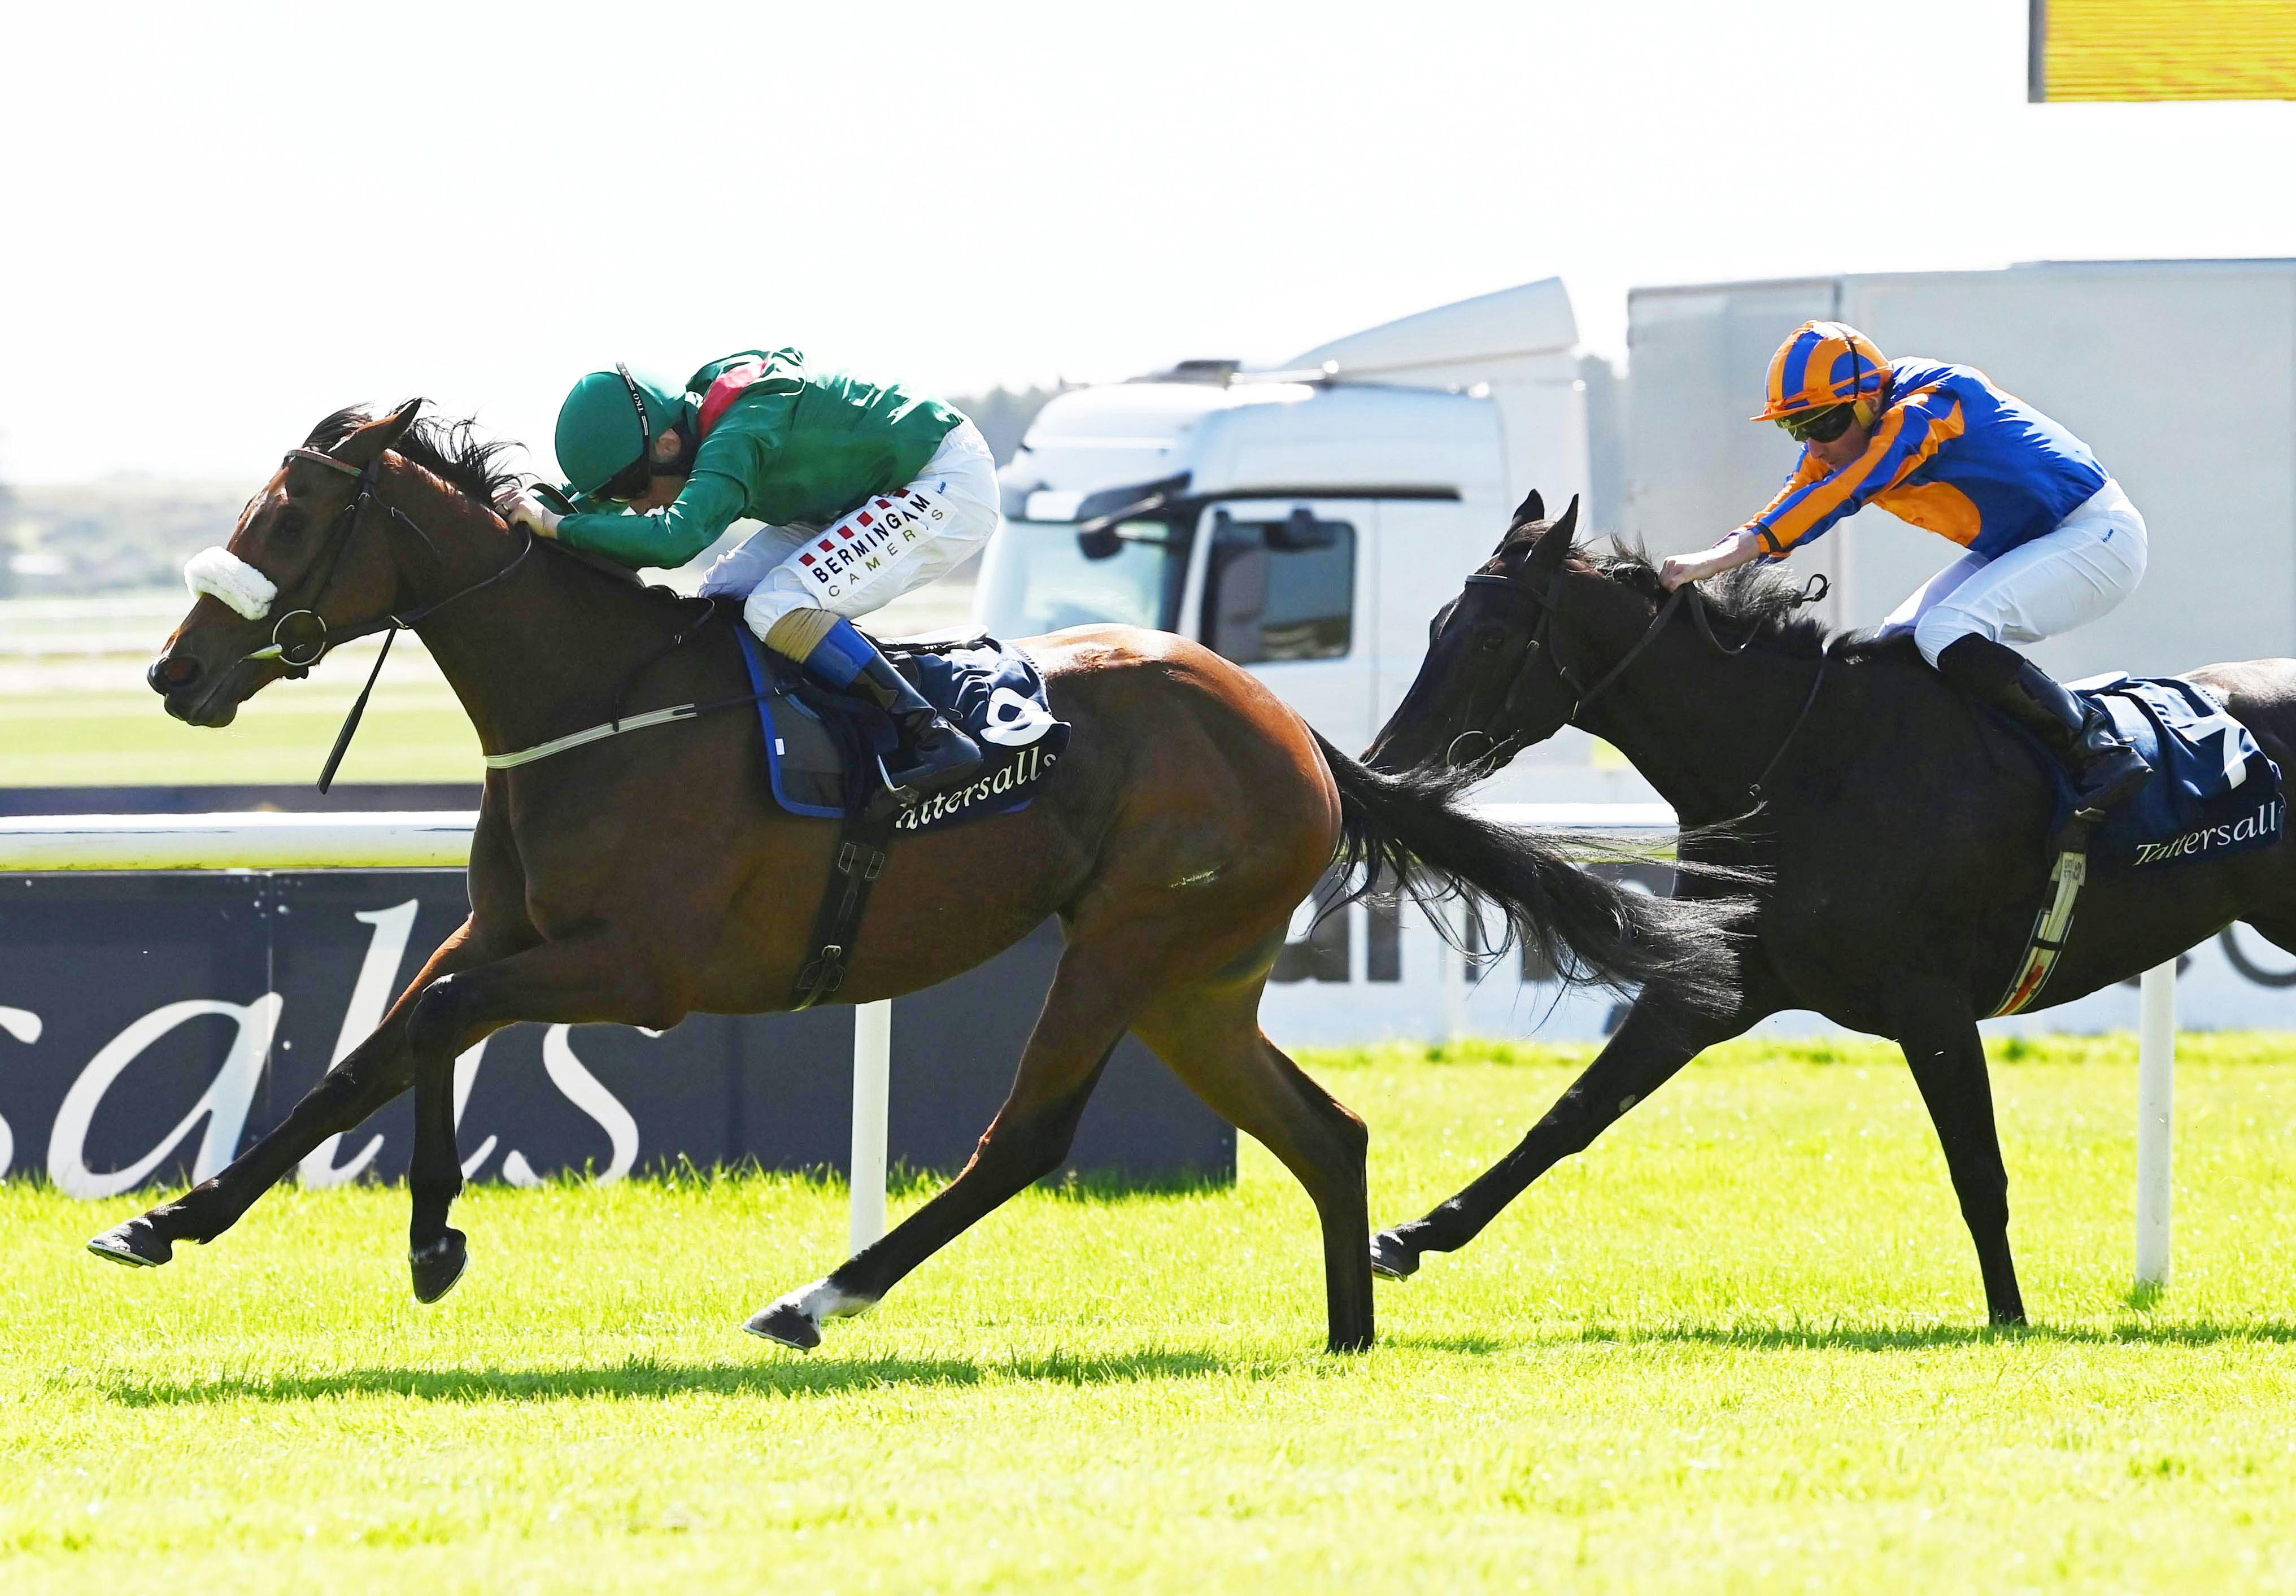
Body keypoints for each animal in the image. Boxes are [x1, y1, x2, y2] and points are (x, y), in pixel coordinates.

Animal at [85, 399, 1736, 1350]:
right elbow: (362, 1055)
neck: (599, 699)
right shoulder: (503, 931)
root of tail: (1294, 730)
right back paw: (1343, 1337)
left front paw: (432, 1242)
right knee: (1327, 1132)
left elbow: (430, 1028)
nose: (176, 673)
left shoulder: (644, 969)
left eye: (294, 513)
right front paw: (167, 1220)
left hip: (1125, 944)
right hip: (1199, 977)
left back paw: (816, 1299)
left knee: (1024, 1140)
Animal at [1359, 494, 2296, 1332]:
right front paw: (1411, 1234)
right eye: (1440, 623)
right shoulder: (1713, 984)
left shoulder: (1931, 999)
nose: (1382, 765)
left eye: (1488, 636)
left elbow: (1976, 1169)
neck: (1806, 760)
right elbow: (1573, 1112)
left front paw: (2008, 1316)